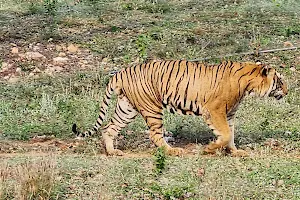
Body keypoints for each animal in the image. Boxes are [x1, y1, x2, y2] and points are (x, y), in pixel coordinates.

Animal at [71, 60, 288, 157]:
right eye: (280, 81)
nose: (288, 91)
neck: (248, 84)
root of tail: (121, 72)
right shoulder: (215, 111)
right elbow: (226, 134)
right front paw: (209, 149)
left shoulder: (229, 114)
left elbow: (231, 135)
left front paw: (235, 152)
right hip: (152, 108)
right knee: (155, 134)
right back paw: (173, 151)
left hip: (127, 108)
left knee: (108, 128)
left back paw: (112, 152)